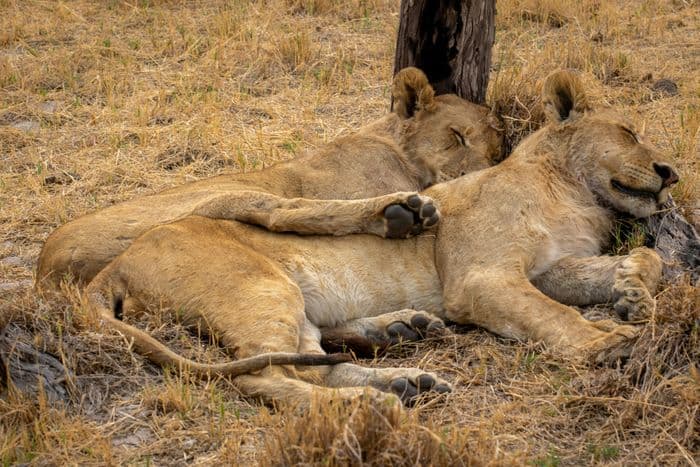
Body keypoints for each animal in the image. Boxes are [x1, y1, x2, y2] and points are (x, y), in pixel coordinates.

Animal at [36, 67, 503, 288]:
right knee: (286, 212)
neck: (398, 148)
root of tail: (46, 266)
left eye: (495, 151)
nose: (484, 171)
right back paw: (399, 214)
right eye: (457, 135)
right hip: (223, 194)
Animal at [81, 70, 678, 407]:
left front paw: (631, 291)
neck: (575, 194)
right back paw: (369, 404)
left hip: (287, 304)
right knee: (263, 376)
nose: (670, 172)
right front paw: (608, 342)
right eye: (629, 132)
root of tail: (115, 266)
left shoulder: (551, 267)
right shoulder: (482, 277)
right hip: (258, 287)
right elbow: (552, 316)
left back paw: (404, 373)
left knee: (314, 361)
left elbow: (647, 258)